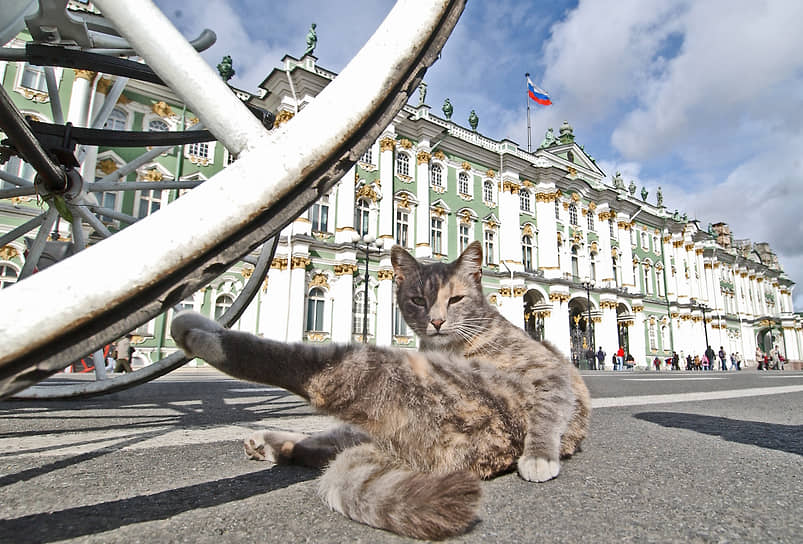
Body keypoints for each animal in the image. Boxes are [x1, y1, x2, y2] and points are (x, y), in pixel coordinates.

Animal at [171, 242, 592, 540]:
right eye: (418, 300)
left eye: (455, 299)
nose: (437, 322)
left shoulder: (550, 370)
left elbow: (549, 412)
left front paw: (539, 457)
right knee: (319, 447)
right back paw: (267, 442)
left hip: (365, 369)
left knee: (300, 371)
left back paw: (199, 333)